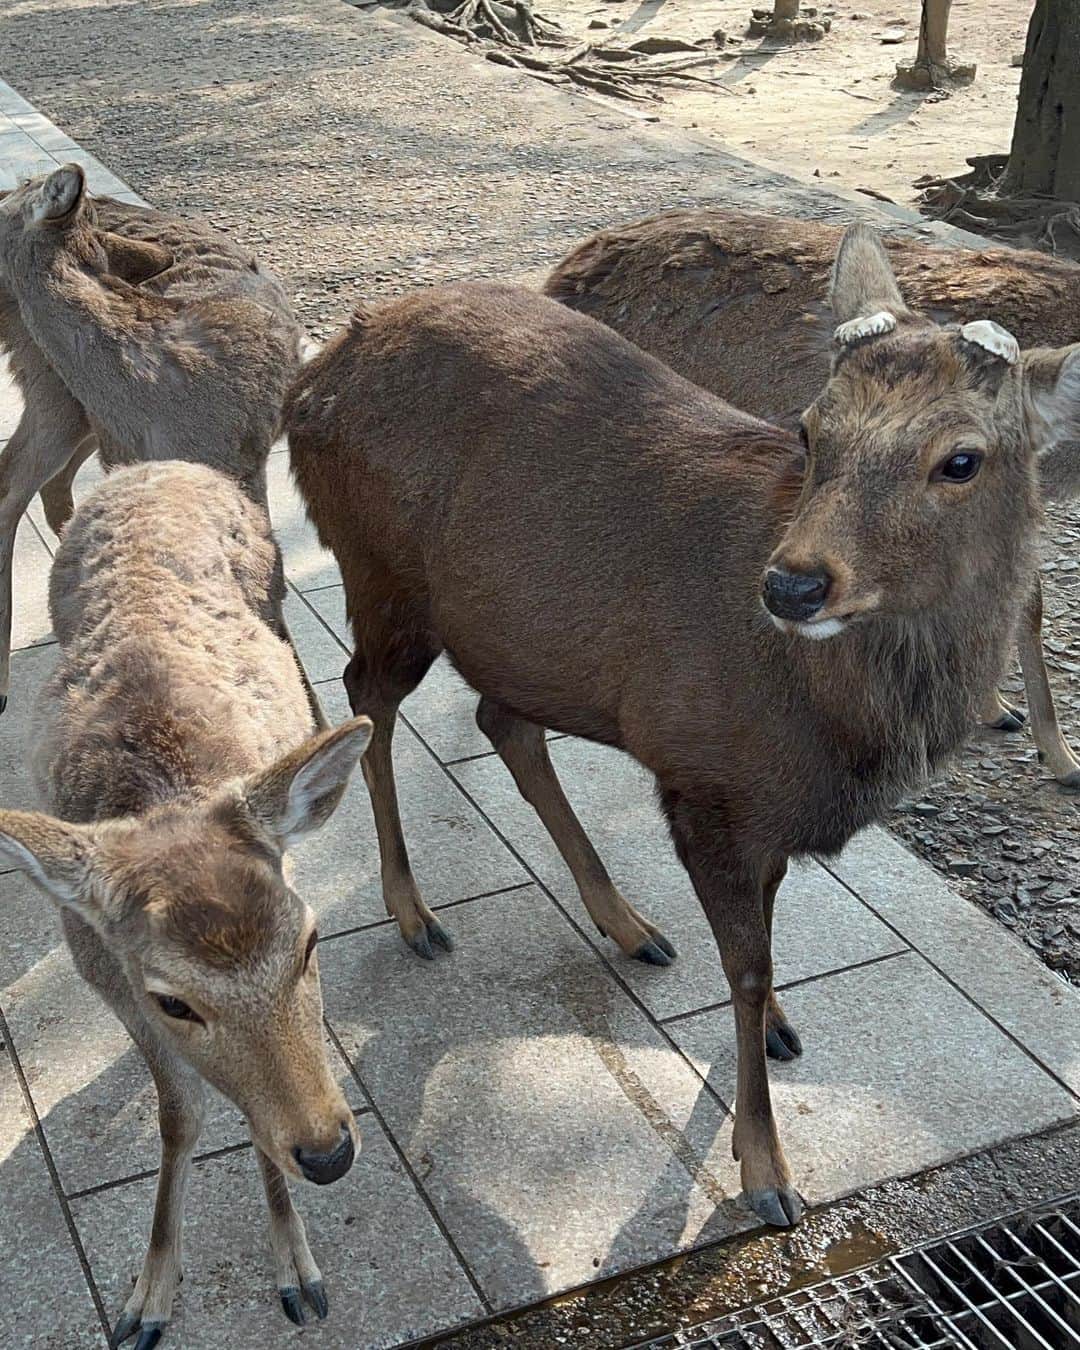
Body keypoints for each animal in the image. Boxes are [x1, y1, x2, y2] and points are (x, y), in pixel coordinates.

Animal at [0, 163, 303, 717]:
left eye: (26, 188)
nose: (12, 186)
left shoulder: (244, 479)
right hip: (57, 392)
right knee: (18, 483)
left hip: (69, 405)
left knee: (39, 484)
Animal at [0, 459, 373, 1348]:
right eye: (173, 1000)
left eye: (310, 942)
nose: (329, 1153)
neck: (165, 789)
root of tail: (152, 465)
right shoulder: (106, 974)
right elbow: (178, 1115)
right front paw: (147, 1298)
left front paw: (297, 1271)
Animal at [545, 207, 1080, 787]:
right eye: (806, 430)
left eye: (960, 462)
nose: (791, 589)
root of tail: (561, 275)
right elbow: (1031, 601)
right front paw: (1059, 754)